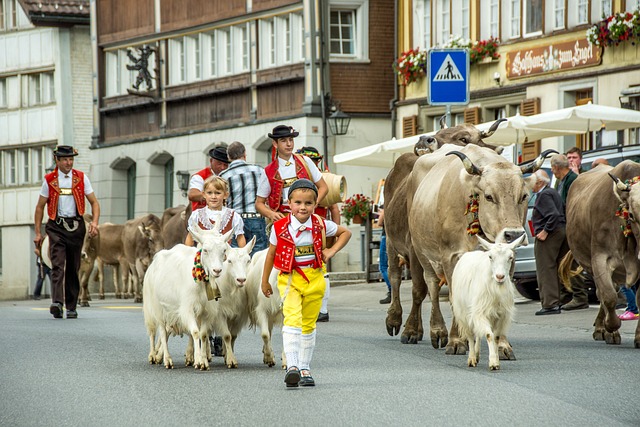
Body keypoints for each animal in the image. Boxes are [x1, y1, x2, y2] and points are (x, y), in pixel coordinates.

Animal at [142, 227, 232, 372]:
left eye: (224, 250)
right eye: (205, 250)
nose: (217, 270)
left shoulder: (206, 311)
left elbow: (203, 334)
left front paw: (203, 361)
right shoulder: (187, 308)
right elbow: (195, 332)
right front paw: (198, 361)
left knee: (165, 332)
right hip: (157, 307)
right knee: (159, 331)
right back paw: (164, 359)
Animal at [450, 234, 524, 372]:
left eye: (510, 257)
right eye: (490, 257)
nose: (500, 276)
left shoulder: (500, 315)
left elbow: (496, 337)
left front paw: (496, 361)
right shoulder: (480, 313)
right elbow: (489, 335)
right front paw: (493, 363)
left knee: (478, 334)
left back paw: (477, 355)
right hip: (464, 313)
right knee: (470, 335)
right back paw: (472, 359)